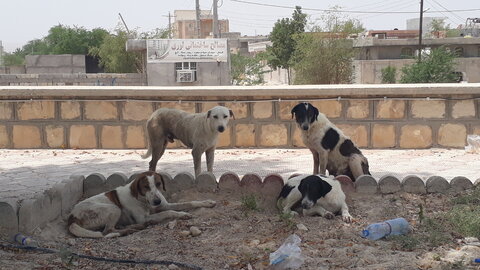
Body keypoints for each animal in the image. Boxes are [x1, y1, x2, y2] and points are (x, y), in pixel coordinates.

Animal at [68, 172, 216, 237]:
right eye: (145, 187)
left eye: (158, 184)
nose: (157, 201)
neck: (143, 200)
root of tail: (72, 217)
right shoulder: (145, 216)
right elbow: (168, 212)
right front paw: (182, 215)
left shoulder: (165, 205)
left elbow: (188, 202)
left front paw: (207, 202)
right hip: (113, 208)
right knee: (107, 231)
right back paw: (131, 229)